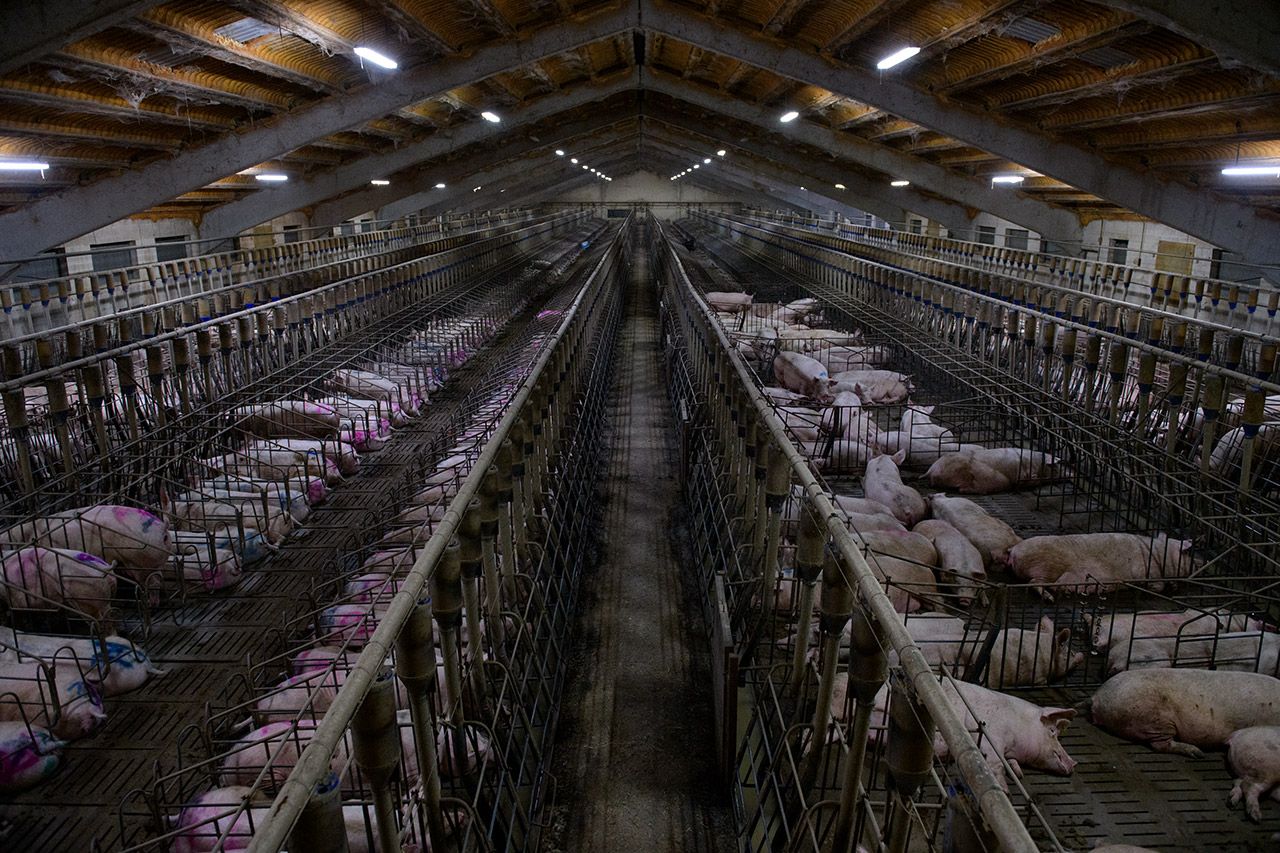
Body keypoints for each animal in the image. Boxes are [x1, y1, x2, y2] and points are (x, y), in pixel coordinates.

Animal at [936, 676, 1075, 788]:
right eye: (1052, 731)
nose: (1073, 763)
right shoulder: (988, 731)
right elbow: (996, 762)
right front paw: (1005, 791)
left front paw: (1019, 774)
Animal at [1008, 532, 1198, 591]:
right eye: (1188, 554)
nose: (1200, 560)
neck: (1160, 555)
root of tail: (1014, 551)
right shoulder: (1146, 570)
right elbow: (1157, 585)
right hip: (1047, 566)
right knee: (1034, 583)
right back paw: (1050, 597)